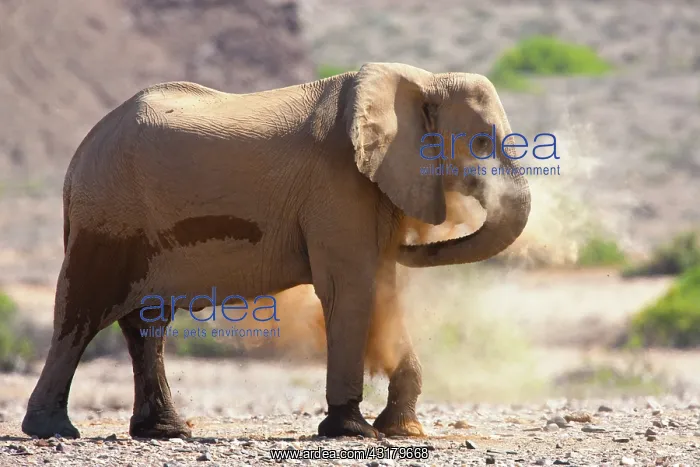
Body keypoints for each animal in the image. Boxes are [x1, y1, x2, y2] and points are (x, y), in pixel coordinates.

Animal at [21, 62, 531, 440]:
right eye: (480, 142)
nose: (422, 244)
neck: (422, 81)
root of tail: (80, 153)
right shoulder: (336, 184)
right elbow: (349, 287)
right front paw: (352, 431)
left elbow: (381, 286)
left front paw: (401, 430)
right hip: (106, 211)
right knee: (80, 313)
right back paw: (53, 431)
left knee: (147, 324)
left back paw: (166, 432)